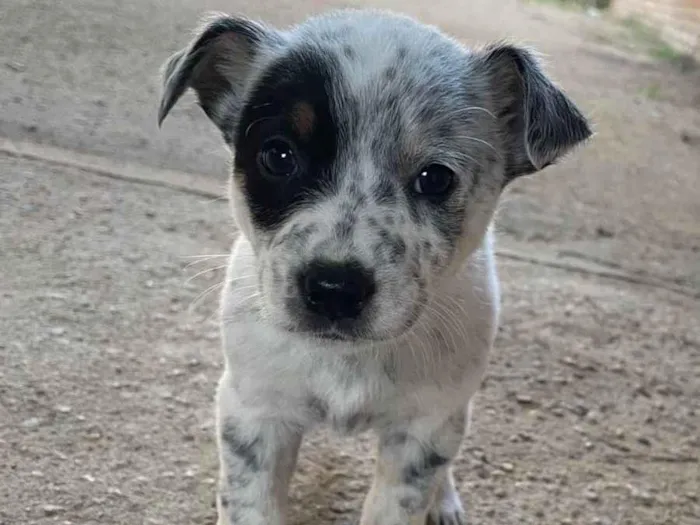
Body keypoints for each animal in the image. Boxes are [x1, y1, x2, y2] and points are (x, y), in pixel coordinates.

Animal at [159, 8, 592, 524]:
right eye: (278, 156)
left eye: (436, 179)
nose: (333, 289)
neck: (348, 359)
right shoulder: (253, 413)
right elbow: (251, 506)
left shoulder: (422, 432)